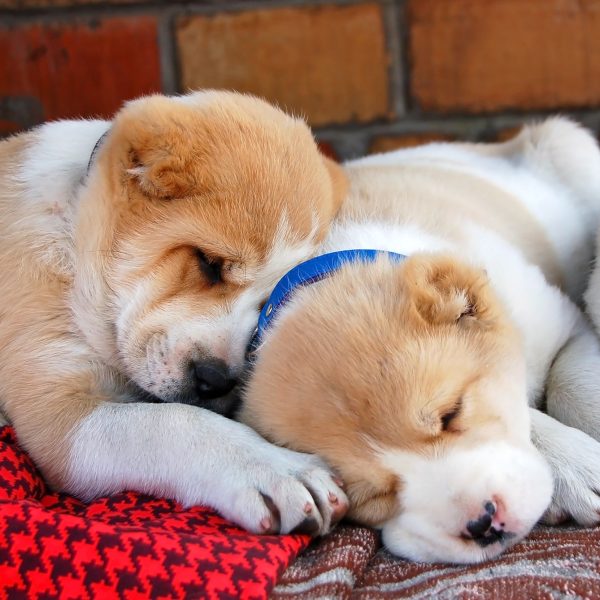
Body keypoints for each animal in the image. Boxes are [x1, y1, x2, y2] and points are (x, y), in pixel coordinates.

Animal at [0, 91, 352, 536]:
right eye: (208, 263)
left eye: (267, 302)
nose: (216, 381)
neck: (75, 237)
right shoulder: (57, 408)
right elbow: (169, 423)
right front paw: (278, 470)